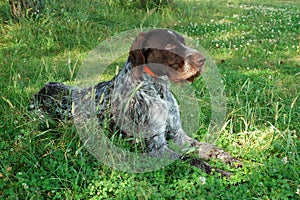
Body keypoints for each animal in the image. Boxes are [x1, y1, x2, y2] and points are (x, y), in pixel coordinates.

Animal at [30, 28, 240, 176]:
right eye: (169, 46)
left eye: (183, 42)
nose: (202, 59)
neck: (158, 90)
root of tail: (40, 92)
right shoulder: (156, 147)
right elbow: (193, 160)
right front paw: (220, 172)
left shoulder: (179, 136)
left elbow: (209, 148)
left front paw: (230, 158)